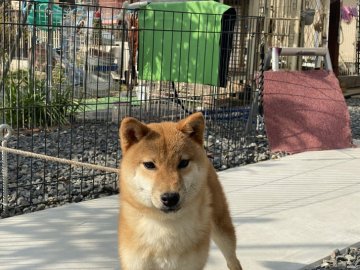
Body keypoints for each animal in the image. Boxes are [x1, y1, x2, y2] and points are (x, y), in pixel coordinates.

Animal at [118, 112, 242, 270]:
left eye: (183, 163)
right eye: (149, 165)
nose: (170, 197)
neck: (166, 227)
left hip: (222, 230)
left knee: (232, 260)